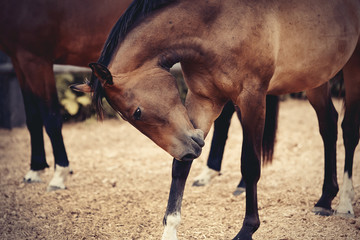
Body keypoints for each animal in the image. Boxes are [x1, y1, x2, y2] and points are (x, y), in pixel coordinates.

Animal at [0, 0, 134, 191]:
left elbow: (51, 118)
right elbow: (33, 118)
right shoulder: (18, 61)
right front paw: (35, 170)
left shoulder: (36, 60)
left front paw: (60, 175)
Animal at [74, 0, 360, 239]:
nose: (189, 149)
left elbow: (250, 165)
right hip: (316, 76)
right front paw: (170, 230)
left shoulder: (252, 99)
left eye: (136, 112)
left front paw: (247, 230)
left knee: (349, 130)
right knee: (329, 125)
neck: (217, 23)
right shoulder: (203, 100)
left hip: (351, 70)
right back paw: (324, 200)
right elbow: (180, 169)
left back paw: (345, 204)